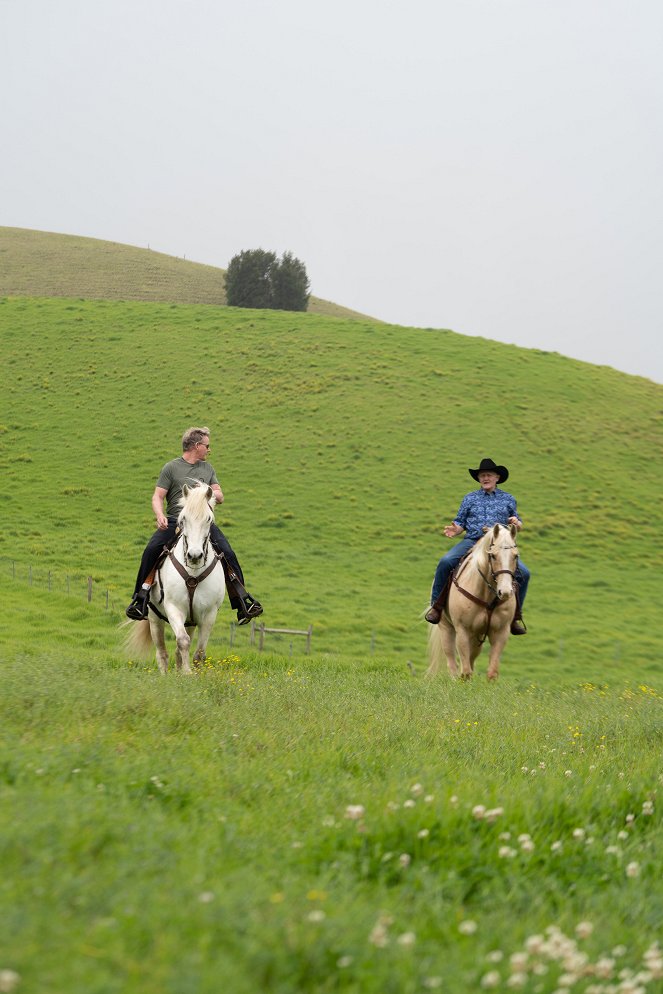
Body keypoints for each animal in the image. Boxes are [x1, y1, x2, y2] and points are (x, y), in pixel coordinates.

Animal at [124, 482, 226, 676]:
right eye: (183, 519)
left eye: (209, 519)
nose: (194, 555)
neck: (193, 573)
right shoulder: (173, 608)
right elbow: (182, 641)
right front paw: (186, 673)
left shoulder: (209, 613)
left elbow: (199, 652)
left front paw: (191, 674)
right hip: (155, 619)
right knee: (162, 652)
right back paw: (165, 676)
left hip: (191, 620)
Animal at [428, 524, 520, 680]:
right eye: (493, 555)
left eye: (515, 555)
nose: (505, 592)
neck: (486, 595)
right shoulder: (462, 630)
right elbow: (465, 672)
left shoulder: (501, 632)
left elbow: (492, 673)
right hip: (446, 627)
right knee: (451, 660)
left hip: (477, 636)